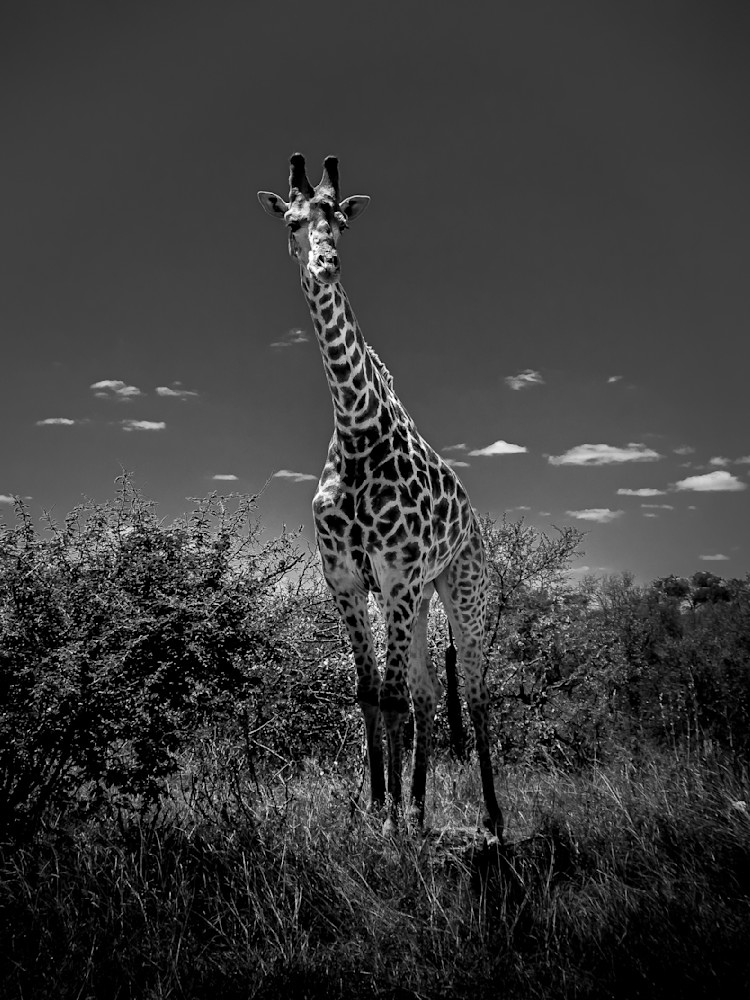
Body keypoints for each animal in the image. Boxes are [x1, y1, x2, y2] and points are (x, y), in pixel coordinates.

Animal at [258, 154, 503, 837]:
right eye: (290, 221)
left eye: (338, 220)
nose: (325, 262)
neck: (356, 430)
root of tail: (473, 515)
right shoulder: (346, 577)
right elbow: (372, 696)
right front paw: (376, 810)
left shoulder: (393, 573)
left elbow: (390, 698)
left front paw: (388, 823)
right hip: (419, 597)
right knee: (425, 693)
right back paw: (417, 807)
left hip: (461, 587)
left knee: (475, 693)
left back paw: (491, 819)